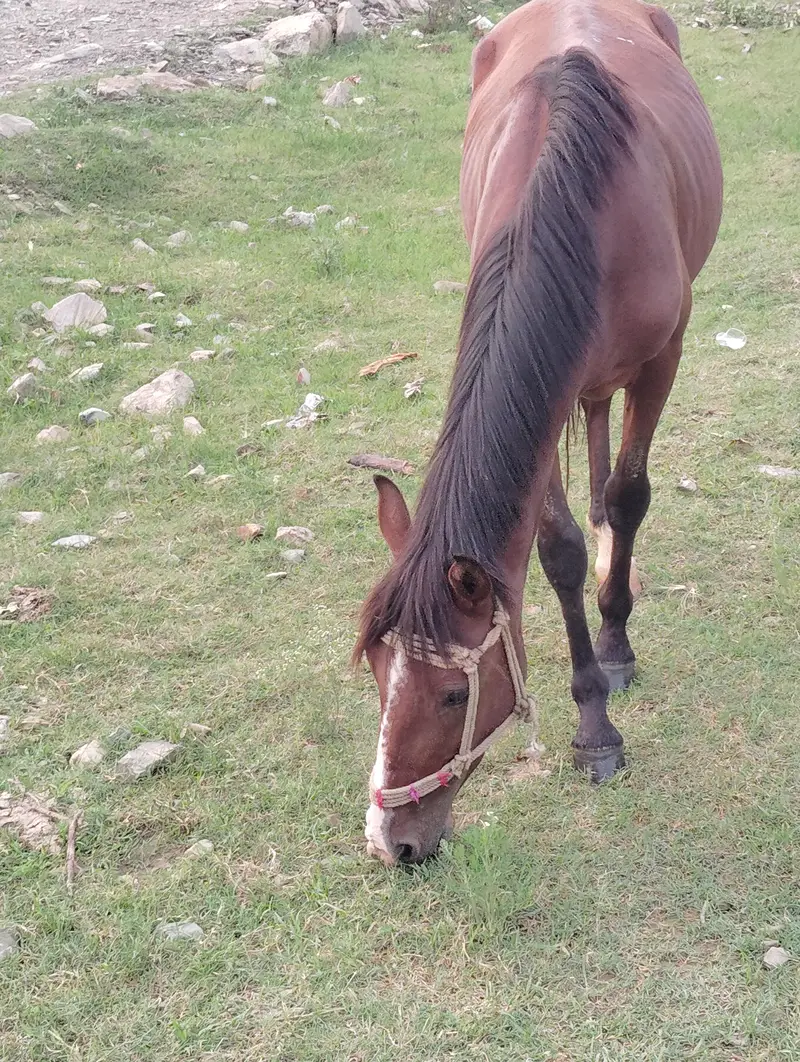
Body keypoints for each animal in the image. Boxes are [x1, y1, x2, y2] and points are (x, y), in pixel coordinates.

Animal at [355, 0, 723, 866]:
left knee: (614, 482)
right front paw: (591, 715)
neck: (578, 208)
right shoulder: (539, 397)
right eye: (377, 673)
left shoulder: (663, 359)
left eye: (453, 693)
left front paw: (611, 665)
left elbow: (631, 495)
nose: (390, 842)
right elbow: (554, 550)